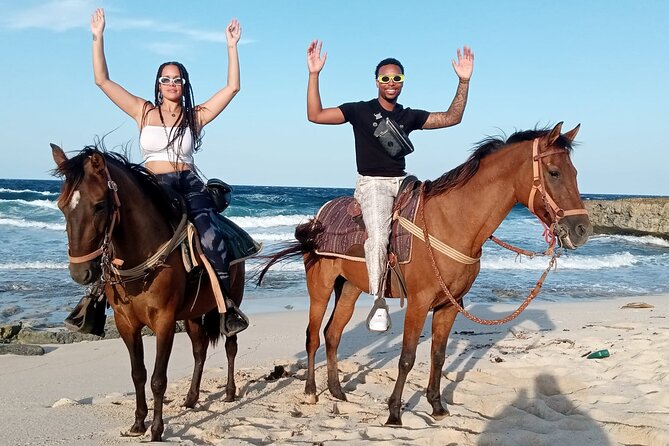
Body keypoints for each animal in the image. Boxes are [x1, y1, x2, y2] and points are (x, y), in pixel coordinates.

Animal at [51, 145, 245, 440]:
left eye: (99, 205)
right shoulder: (126, 323)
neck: (140, 255)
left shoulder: (164, 321)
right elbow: (138, 373)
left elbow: (157, 379)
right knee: (199, 350)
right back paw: (191, 398)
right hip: (192, 313)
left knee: (231, 346)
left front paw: (156, 430)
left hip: (232, 299)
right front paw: (138, 423)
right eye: (61, 206)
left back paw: (231, 392)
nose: (80, 273)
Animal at [258, 123, 588, 426]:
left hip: (350, 288)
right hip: (321, 287)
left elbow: (437, 356)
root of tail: (317, 218)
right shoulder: (418, 303)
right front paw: (394, 413)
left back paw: (337, 391)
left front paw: (437, 406)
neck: (452, 222)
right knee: (313, 337)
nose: (582, 230)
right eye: (554, 172)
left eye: (575, 172)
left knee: (333, 334)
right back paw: (312, 392)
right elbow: (407, 357)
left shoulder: (450, 305)